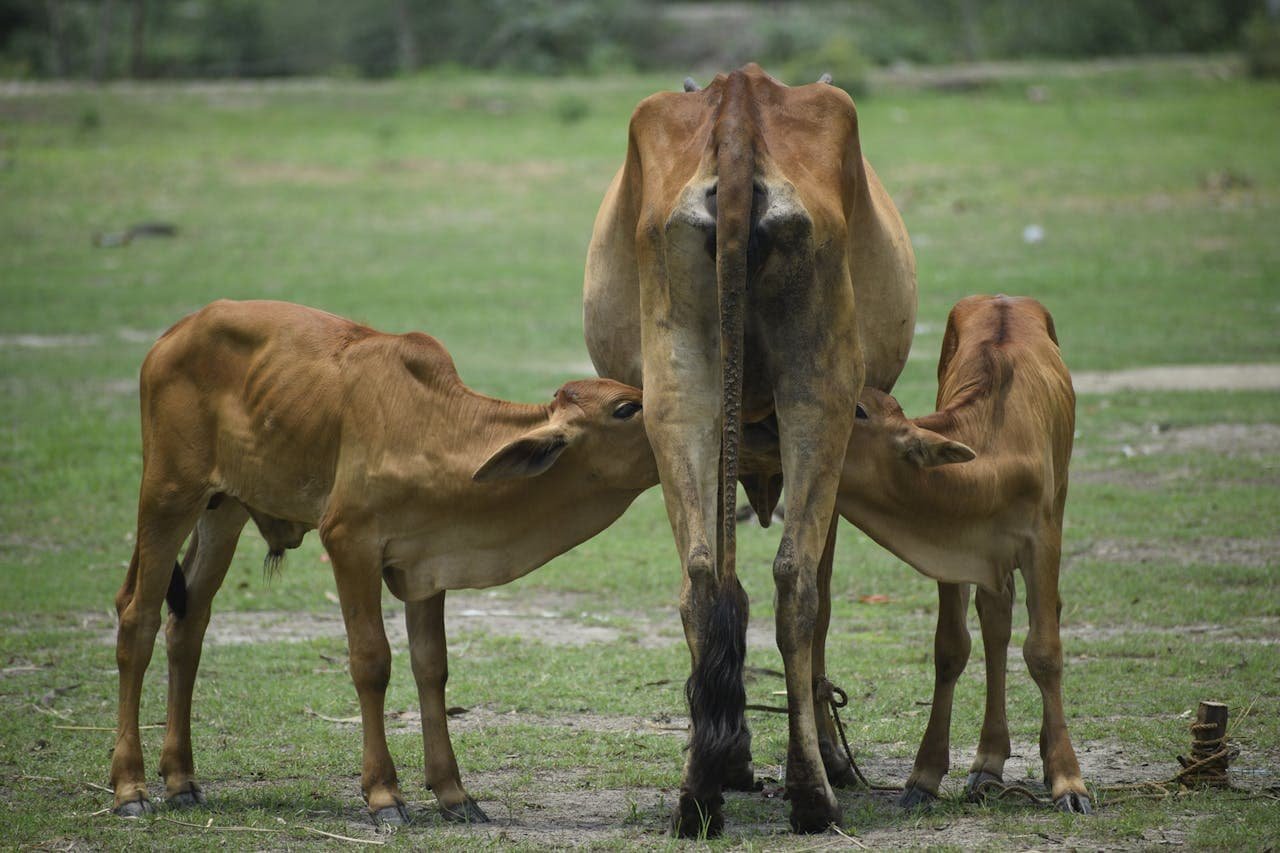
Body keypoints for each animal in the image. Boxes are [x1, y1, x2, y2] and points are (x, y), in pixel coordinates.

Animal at [110, 299, 658, 824]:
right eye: (627, 408)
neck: (437, 432)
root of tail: (176, 331)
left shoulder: (428, 563)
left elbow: (431, 666)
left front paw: (453, 793)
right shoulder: (349, 542)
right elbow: (371, 661)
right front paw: (383, 794)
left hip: (224, 511)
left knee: (188, 625)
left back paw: (180, 780)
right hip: (168, 495)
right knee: (137, 618)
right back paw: (129, 787)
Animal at [583, 64, 917, 834]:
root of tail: (740, 99)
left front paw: (730, 753)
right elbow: (821, 592)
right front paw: (825, 755)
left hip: (679, 393)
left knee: (703, 580)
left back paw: (700, 790)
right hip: (822, 395)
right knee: (797, 583)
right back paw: (814, 790)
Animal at [827, 294, 1090, 813]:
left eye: (860, 411)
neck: (992, 461)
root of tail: (1005, 297)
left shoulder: (1042, 542)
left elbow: (1045, 652)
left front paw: (1068, 780)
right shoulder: (951, 550)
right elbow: (950, 649)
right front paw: (924, 776)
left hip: (1062, 496)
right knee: (996, 619)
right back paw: (988, 761)